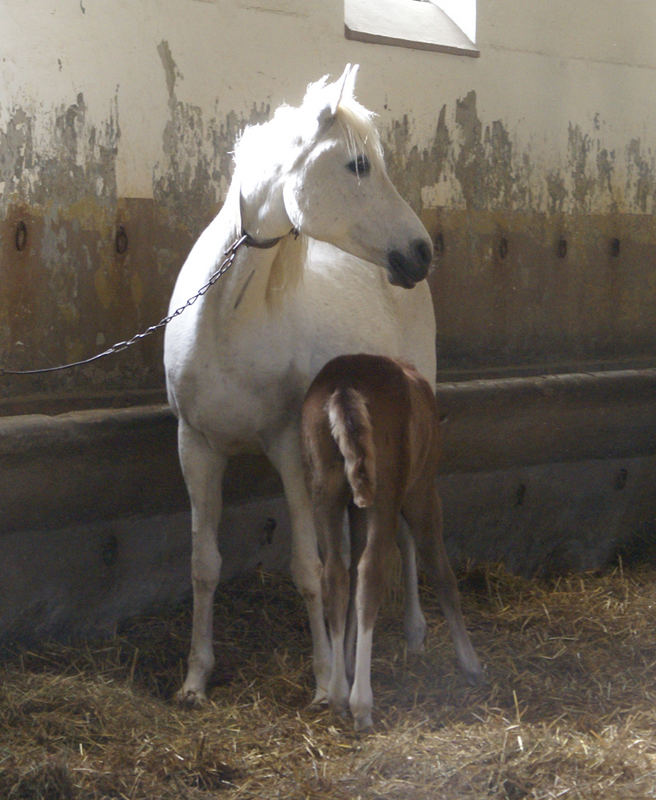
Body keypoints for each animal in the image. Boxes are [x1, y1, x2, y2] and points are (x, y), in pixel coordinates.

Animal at [164, 64, 438, 708]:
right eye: (358, 165)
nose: (421, 253)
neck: (227, 315)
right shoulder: (197, 447)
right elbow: (203, 564)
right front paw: (195, 679)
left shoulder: (288, 448)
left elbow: (306, 567)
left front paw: (322, 681)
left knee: (406, 531)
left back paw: (414, 635)